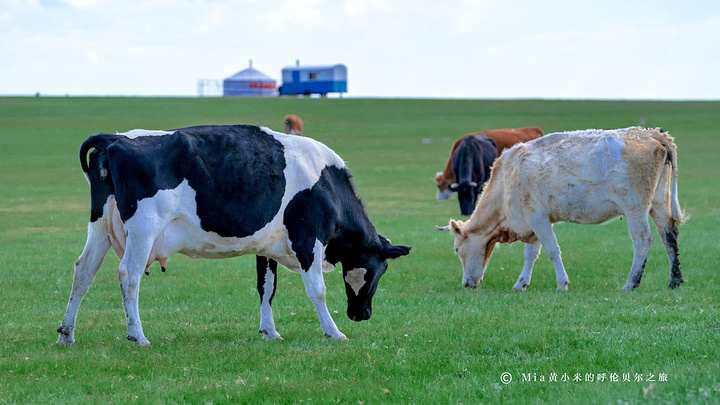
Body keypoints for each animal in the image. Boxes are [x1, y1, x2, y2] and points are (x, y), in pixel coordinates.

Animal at [56, 124, 410, 346]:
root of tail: (116, 139)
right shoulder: (308, 239)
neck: (327, 184)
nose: (363, 314)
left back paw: (66, 334)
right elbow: (317, 291)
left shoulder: (267, 247)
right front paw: (333, 332)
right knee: (128, 274)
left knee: (83, 271)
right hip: (144, 228)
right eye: (381, 270)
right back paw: (138, 336)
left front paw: (269, 331)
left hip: (100, 227)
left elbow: (266, 288)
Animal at [438, 126, 688, 290]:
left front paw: (562, 283)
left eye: (457, 250)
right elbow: (531, 253)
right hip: (658, 203)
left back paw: (631, 282)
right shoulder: (535, 221)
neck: (506, 181)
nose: (467, 284)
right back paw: (674, 281)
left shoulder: (537, 218)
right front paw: (521, 283)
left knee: (643, 239)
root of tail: (649, 132)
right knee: (669, 235)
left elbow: (552, 250)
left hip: (635, 207)